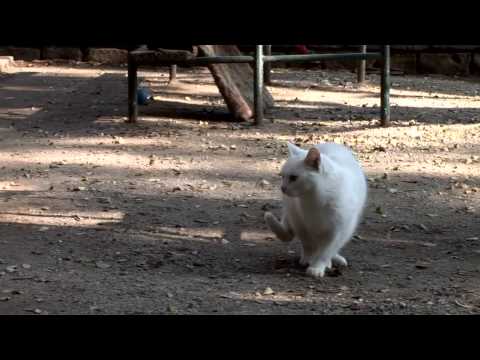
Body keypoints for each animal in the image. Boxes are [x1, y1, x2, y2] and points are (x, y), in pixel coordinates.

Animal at [264, 142, 366, 278]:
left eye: (293, 178)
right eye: (282, 176)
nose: (283, 188)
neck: (315, 199)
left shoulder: (337, 231)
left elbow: (325, 251)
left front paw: (317, 267)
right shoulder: (301, 224)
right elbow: (308, 245)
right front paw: (309, 260)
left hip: (346, 229)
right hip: (291, 211)